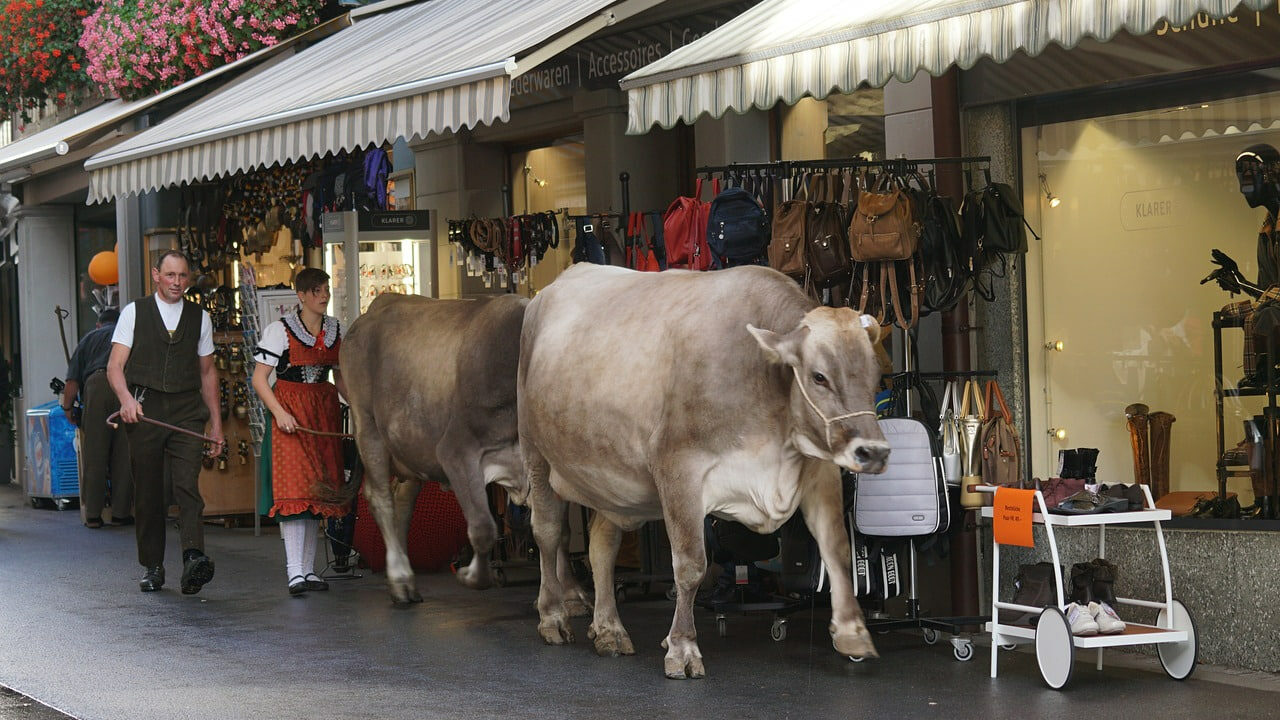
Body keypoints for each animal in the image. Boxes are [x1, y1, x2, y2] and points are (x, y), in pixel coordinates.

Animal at [343, 289, 591, 604]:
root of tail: (380, 304)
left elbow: (560, 529)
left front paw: (569, 591)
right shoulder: (456, 450)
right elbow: (484, 527)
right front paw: (473, 576)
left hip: (413, 444)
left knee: (402, 500)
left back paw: (405, 578)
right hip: (367, 425)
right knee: (380, 497)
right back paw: (400, 580)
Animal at [517, 260, 890, 676]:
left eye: (875, 375)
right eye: (819, 376)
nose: (874, 452)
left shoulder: (817, 469)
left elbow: (836, 547)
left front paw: (852, 633)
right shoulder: (679, 469)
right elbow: (690, 564)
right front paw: (682, 647)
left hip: (610, 478)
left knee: (601, 547)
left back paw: (610, 629)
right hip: (536, 455)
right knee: (548, 532)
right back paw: (553, 616)